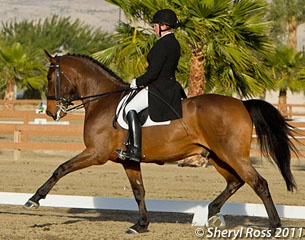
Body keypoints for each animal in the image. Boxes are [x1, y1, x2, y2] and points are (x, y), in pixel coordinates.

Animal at [24, 51, 296, 234]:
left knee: (258, 183)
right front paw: (141, 225)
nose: (50, 112)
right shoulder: (128, 161)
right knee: (235, 182)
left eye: (50, 77)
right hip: (217, 155)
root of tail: (241, 103)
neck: (103, 101)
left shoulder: (95, 153)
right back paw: (208, 212)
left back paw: (274, 226)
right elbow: (139, 191)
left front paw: (34, 199)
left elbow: (61, 168)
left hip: (232, 154)